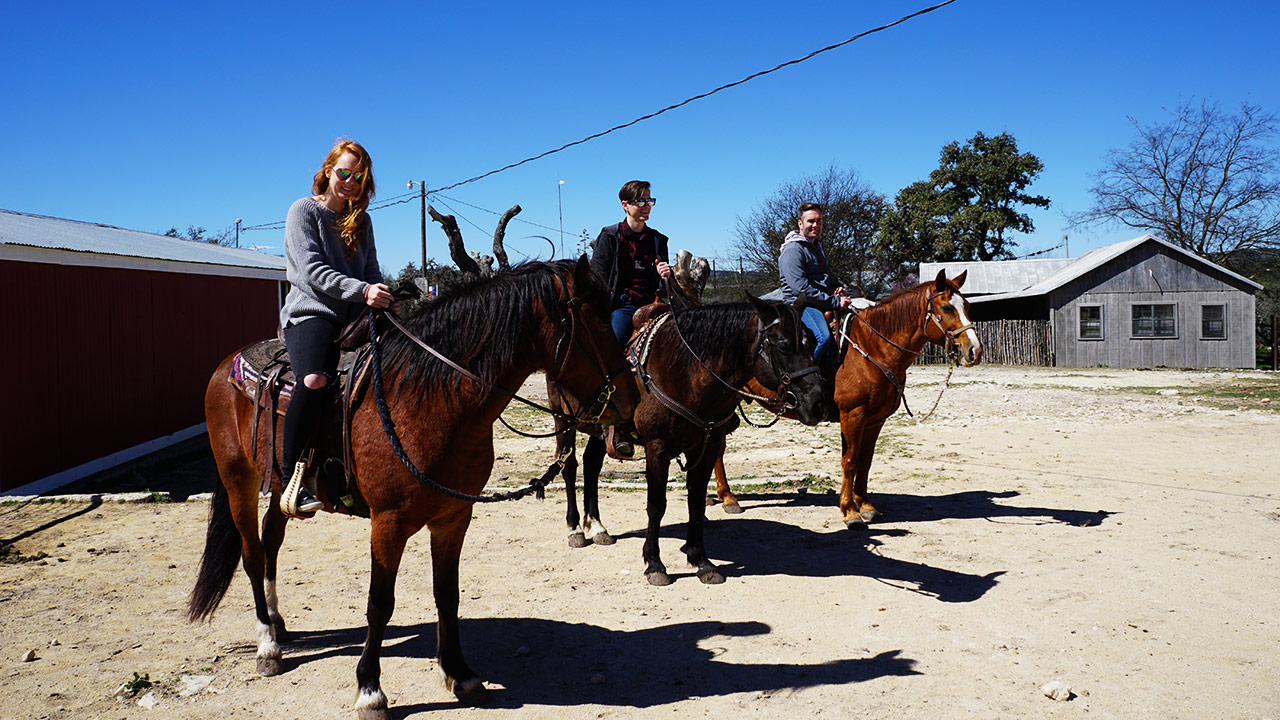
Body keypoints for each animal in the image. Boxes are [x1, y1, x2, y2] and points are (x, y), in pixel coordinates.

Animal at [186, 257, 634, 717]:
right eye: (601, 321)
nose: (631, 398)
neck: (432, 398)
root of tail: (228, 365)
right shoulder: (388, 523)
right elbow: (379, 604)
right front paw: (370, 689)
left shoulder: (454, 517)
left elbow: (447, 594)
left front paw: (460, 674)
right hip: (238, 477)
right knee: (252, 554)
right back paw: (267, 645)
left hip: (278, 485)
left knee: (271, 540)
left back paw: (278, 623)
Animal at [550, 295, 829, 584]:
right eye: (783, 345)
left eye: (812, 341)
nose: (818, 403)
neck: (687, 373)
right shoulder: (657, 448)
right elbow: (656, 505)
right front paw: (655, 564)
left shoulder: (705, 448)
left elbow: (696, 503)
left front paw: (701, 560)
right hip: (562, 420)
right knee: (568, 466)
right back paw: (575, 530)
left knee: (591, 465)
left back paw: (597, 527)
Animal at [711, 269, 977, 527]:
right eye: (947, 308)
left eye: (966, 306)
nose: (974, 349)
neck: (873, 347)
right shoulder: (853, 415)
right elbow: (849, 461)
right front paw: (850, 512)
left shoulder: (875, 420)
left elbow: (865, 461)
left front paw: (866, 506)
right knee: (719, 448)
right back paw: (728, 498)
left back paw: (723, 497)